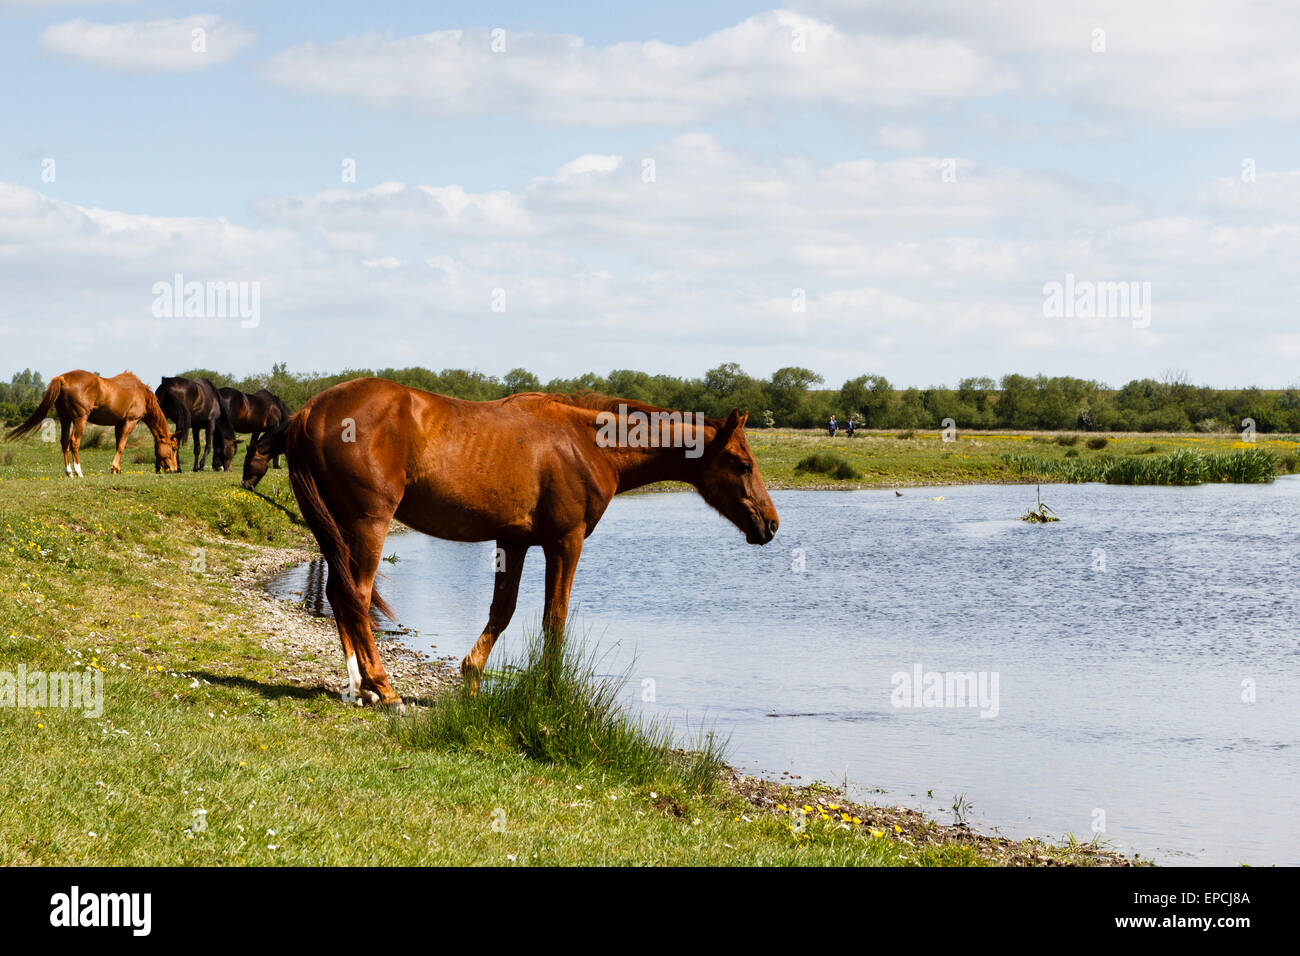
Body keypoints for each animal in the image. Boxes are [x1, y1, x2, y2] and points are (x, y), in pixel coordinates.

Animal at [5, 369, 179, 476]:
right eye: (174, 448)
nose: (175, 469)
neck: (140, 392)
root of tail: (63, 378)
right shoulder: (131, 421)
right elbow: (122, 446)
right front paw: (114, 468)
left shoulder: (119, 423)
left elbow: (118, 444)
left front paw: (117, 469)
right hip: (80, 419)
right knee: (74, 442)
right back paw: (79, 472)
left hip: (66, 419)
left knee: (64, 442)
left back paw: (69, 472)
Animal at [284, 377, 774, 707]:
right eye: (742, 463)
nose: (770, 524)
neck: (586, 444)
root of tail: (312, 410)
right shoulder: (565, 542)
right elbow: (554, 618)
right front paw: (551, 691)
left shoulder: (513, 540)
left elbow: (502, 612)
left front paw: (472, 679)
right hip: (370, 523)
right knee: (358, 596)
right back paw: (383, 689)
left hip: (340, 529)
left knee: (338, 594)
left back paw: (358, 688)